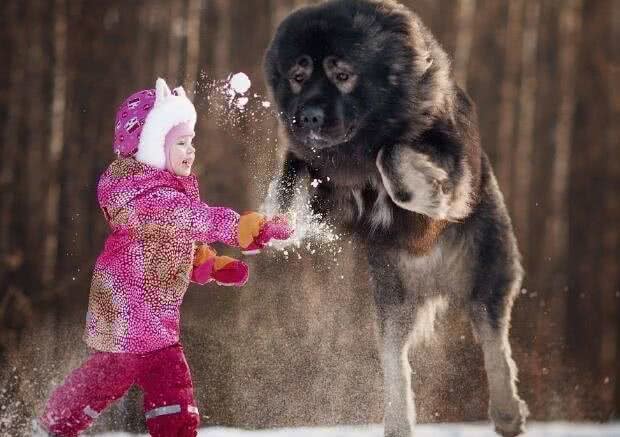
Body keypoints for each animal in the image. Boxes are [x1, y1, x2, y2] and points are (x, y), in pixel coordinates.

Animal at [264, 1, 532, 434]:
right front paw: (279, 220)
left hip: (486, 273)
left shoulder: (444, 153)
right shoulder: (321, 174)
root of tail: (436, 279)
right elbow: (291, 170)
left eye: (343, 75)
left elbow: (391, 155)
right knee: (395, 362)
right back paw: (397, 422)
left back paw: (508, 412)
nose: (308, 117)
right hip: (392, 297)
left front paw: (428, 195)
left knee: (495, 343)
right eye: (298, 77)